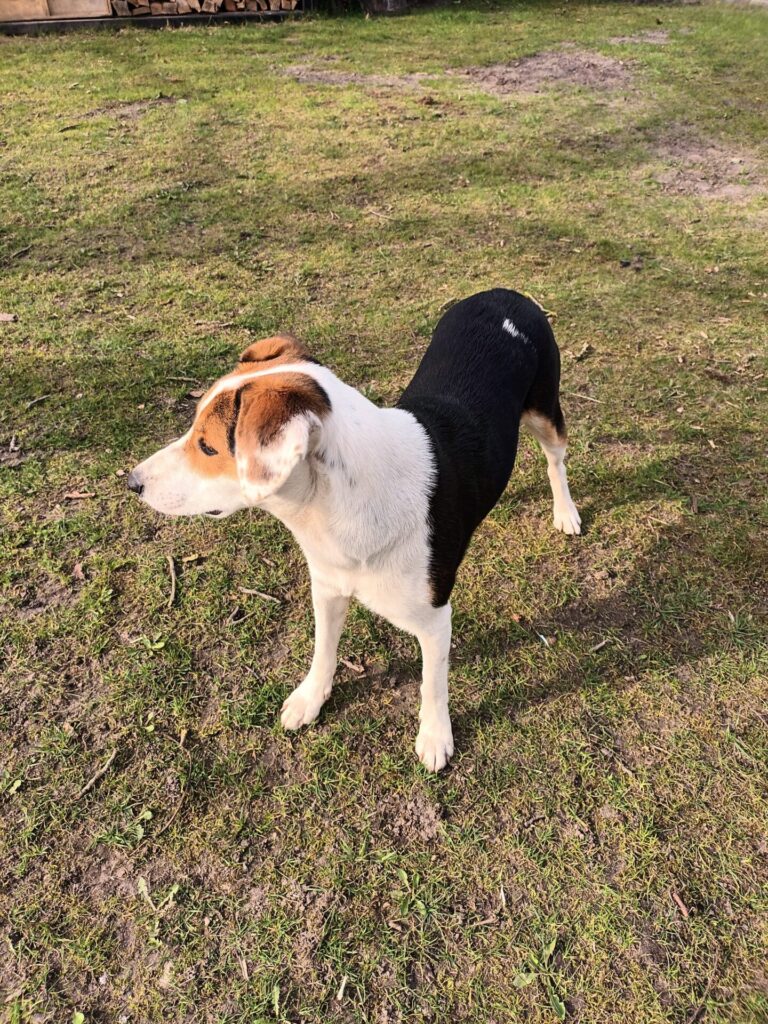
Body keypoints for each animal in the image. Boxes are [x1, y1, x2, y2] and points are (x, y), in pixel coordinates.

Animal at [128, 288, 580, 771]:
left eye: (209, 446)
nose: (132, 482)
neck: (333, 507)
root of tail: (503, 294)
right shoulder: (328, 587)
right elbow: (323, 650)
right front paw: (310, 698)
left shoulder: (435, 621)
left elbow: (431, 685)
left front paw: (435, 736)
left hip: (545, 411)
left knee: (555, 460)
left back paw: (566, 512)